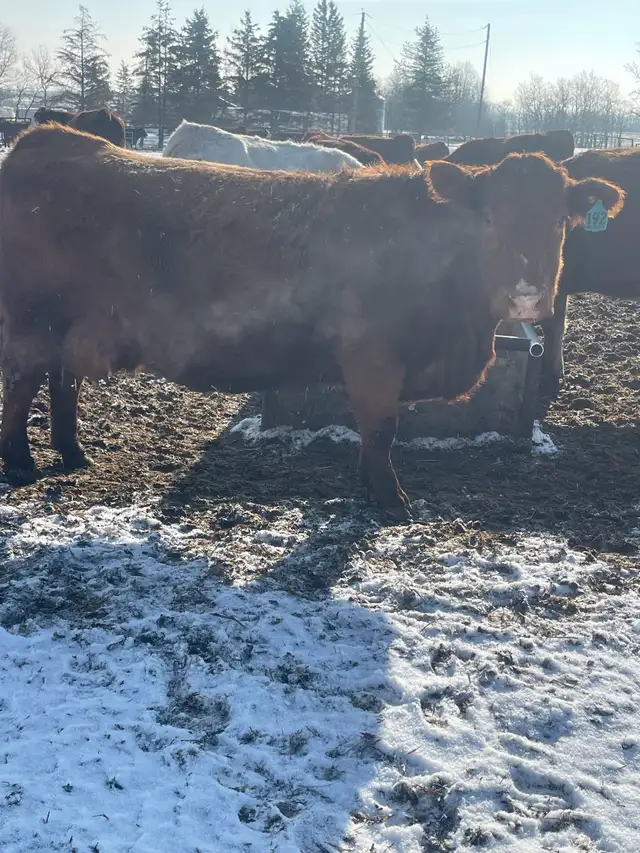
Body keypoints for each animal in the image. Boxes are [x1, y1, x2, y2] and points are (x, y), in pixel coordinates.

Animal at [0, 126, 624, 514]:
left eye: (559, 221)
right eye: (489, 218)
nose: (527, 291)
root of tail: (48, 141)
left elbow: (377, 431)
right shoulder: (373, 358)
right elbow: (382, 428)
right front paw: (389, 499)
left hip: (70, 327)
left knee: (63, 382)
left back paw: (73, 454)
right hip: (30, 321)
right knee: (23, 385)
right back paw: (21, 465)